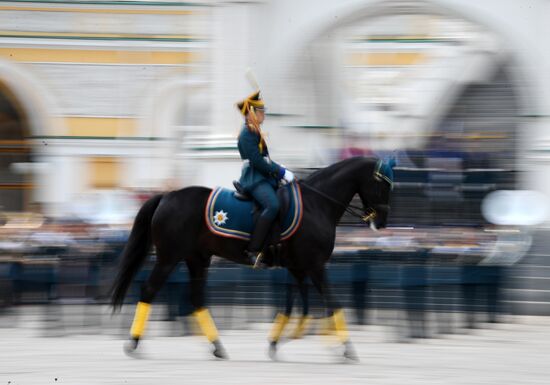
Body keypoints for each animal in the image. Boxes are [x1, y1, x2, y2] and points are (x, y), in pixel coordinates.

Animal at [111, 156, 392, 360]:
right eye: (383, 184)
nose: (381, 222)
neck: (317, 204)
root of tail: (166, 196)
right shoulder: (314, 266)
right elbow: (331, 303)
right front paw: (344, 347)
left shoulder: (299, 268)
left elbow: (296, 307)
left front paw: (280, 341)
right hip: (169, 258)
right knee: (149, 290)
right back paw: (134, 343)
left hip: (197, 259)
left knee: (196, 299)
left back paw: (217, 346)